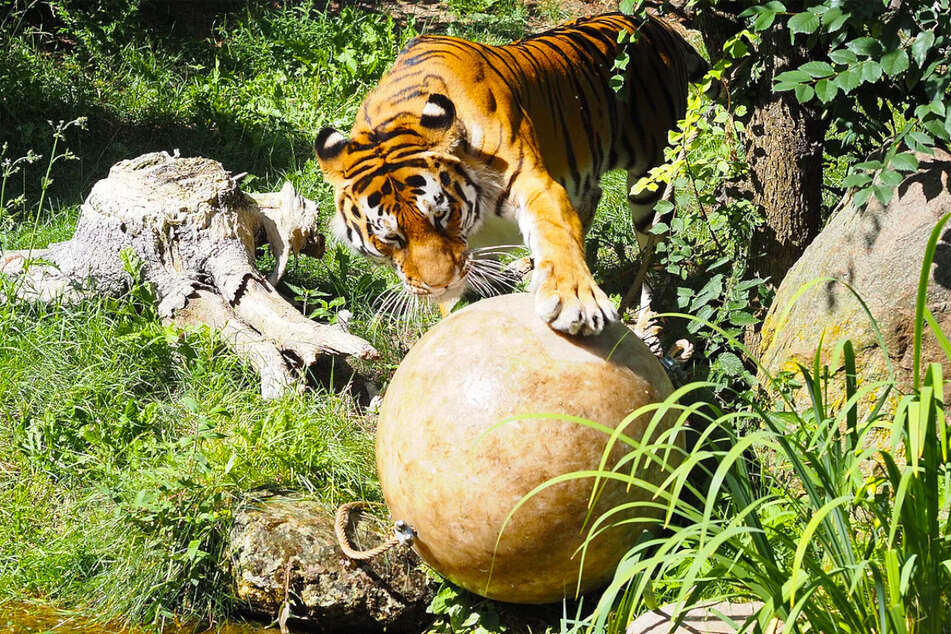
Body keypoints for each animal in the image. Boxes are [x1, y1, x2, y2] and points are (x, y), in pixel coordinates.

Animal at [316, 11, 712, 336]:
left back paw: (650, 322)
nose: (441, 285)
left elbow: (557, 234)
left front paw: (576, 302)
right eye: (391, 238)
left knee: (656, 254)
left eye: (442, 216)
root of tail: (656, 25)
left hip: (652, 177)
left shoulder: (532, 181)